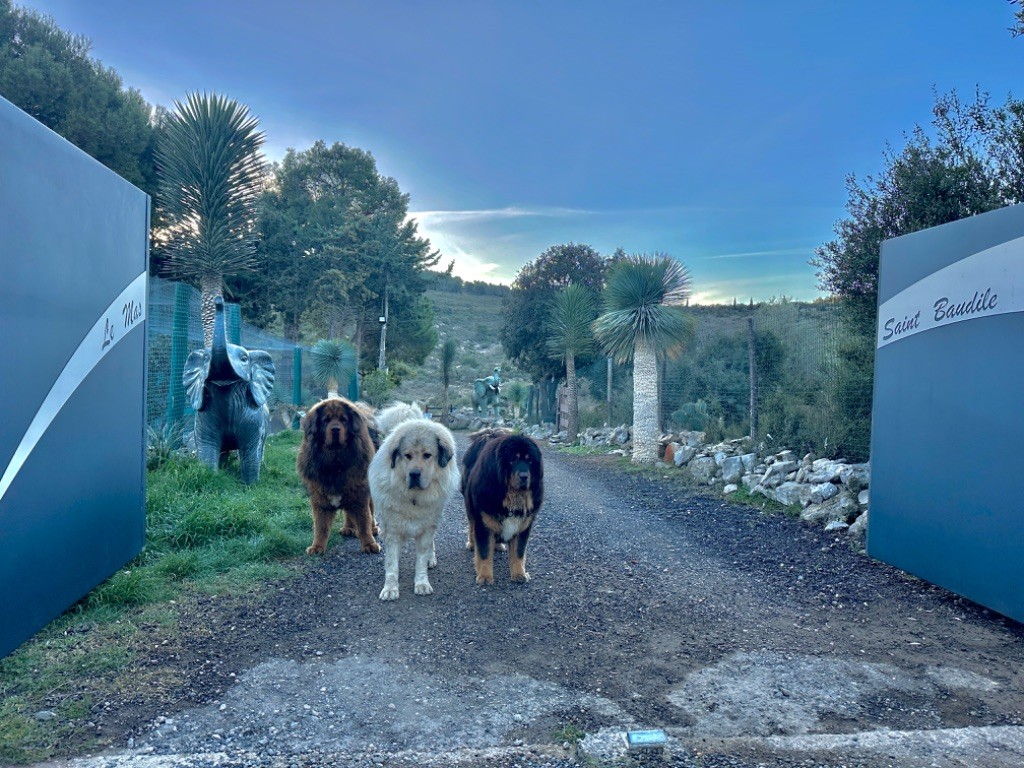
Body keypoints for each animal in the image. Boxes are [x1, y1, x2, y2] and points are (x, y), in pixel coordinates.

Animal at [299, 399, 382, 557]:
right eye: (326, 420)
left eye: (343, 420)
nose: (335, 429)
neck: (335, 462)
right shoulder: (320, 499)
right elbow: (321, 526)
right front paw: (317, 547)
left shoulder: (359, 494)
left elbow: (364, 522)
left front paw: (370, 544)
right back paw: (349, 528)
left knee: (371, 509)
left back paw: (373, 528)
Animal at [370, 421, 458, 602]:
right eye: (407, 456)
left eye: (427, 455)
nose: (415, 474)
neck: (414, 497)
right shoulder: (392, 531)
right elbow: (392, 564)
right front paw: (390, 588)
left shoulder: (426, 529)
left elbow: (421, 561)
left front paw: (422, 583)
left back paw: (431, 558)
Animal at [462, 430, 544, 585]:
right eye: (513, 460)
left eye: (529, 461)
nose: (524, 476)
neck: (512, 498)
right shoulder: (484, 524)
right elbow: (484, 553)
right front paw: (485, 577)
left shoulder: (523, 527)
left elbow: (518, 553)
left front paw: (519, 574)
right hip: (470, 507)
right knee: (471, 525)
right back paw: (472, 543)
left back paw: (498, 545)